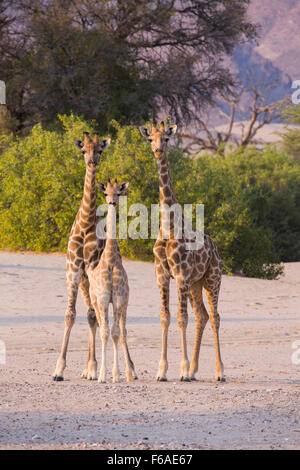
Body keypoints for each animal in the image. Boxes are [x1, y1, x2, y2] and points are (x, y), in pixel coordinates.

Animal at [87, 179, 138, 382]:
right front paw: (102, 375)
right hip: (95, 302)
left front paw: (116, 375)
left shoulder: (118, 299)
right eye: (105, 193)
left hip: (124, 305)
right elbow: (105, 333)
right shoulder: (102, 299)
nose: (111, 202)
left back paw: (130, 372)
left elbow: (116, 333)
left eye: (118, 193)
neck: (110, 260)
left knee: (122, 331)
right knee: (101, 326)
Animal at [139, 121, 224, 382]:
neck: (168, 226)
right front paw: (162, 371)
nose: (158, 150)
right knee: (202, 316)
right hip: (196, 284)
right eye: (150, 139)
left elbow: (181, 318)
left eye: (166, 138)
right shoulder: (162, 274)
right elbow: (165, 317)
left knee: (215, 317)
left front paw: (182, 369)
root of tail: (217, 251)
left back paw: (219, 372)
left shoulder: (181, 275)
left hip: (212, 279)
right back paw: (196, 370)